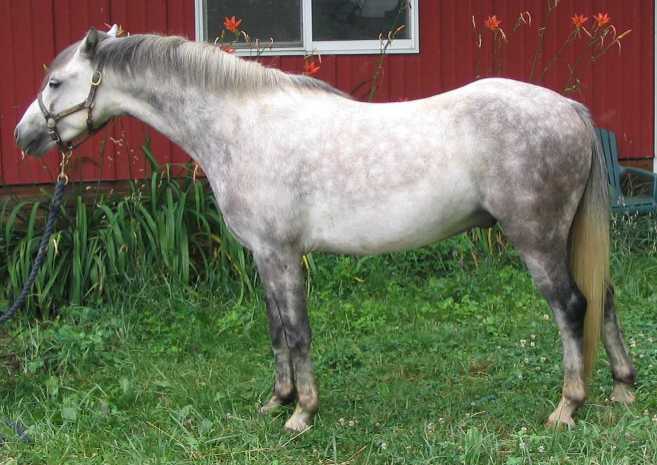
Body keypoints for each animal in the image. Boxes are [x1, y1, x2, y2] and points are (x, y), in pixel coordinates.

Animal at [14, 29, 636, 434]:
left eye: (55, 81)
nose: (24, 137)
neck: (241, 126)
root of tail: (569, 109)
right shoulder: (263, 256)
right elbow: (274, 331)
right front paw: (276, 400)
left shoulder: (282, 254)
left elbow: (297, 332)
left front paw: (302, 414)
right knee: (604, 299)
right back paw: (623, 389)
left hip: (536, 239)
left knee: (572, 307)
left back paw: (568, 406)